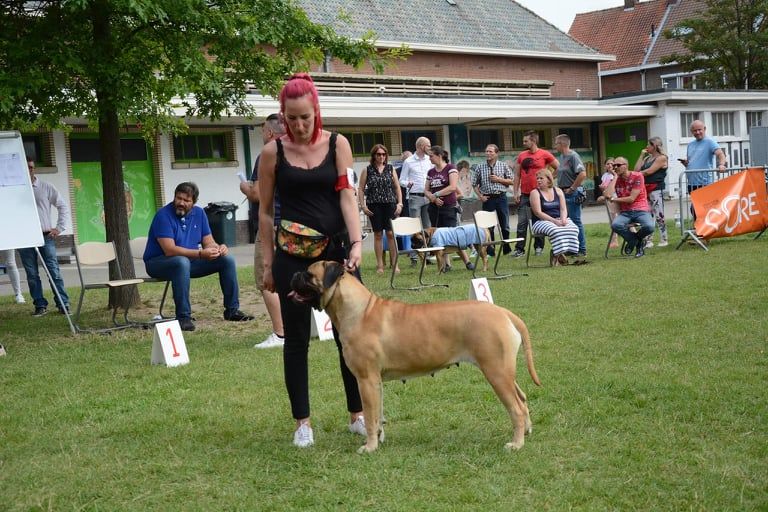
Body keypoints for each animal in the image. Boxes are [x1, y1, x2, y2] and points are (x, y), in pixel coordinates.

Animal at [288, 260, 540, 452]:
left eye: (308, 275)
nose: (293, 275)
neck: (357, 310)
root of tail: (503, 312)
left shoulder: (365, 380)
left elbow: (369, 416)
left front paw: (369, 447)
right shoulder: (375, 382)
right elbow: (377, 414)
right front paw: (378, 439)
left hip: (496, 373)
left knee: (516, 408)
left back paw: (516, 444)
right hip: (503, 372)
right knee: (522, 398)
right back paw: (527, 431)